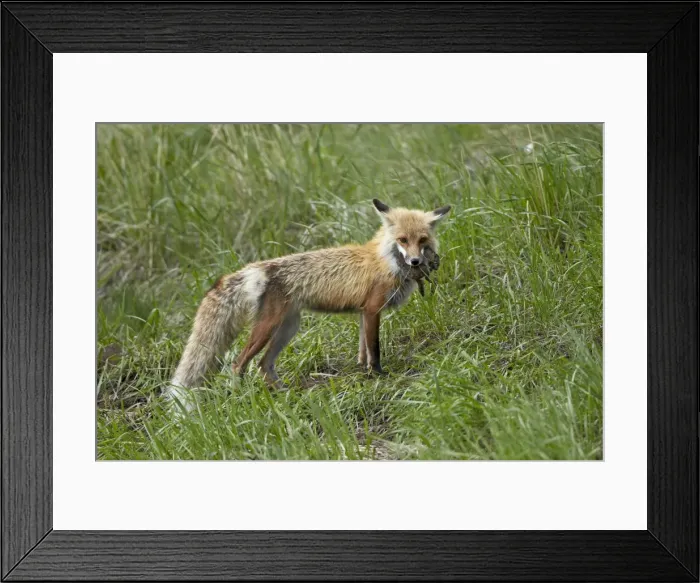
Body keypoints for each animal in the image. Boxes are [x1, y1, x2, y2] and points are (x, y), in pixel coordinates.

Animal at [166, 198, 450, 408]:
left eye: (422, 240)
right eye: (402, 240)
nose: (415, 261)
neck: (386, 261)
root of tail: (257, 268)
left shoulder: (362, 312)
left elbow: (362, 350)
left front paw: (363, 372)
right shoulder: (372, 310)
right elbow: (375, 348)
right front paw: (378, 375)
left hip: (288, 328)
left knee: (263, 365)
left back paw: (283, 393)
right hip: (267, 328)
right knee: (238, 364)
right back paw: (241, 397)